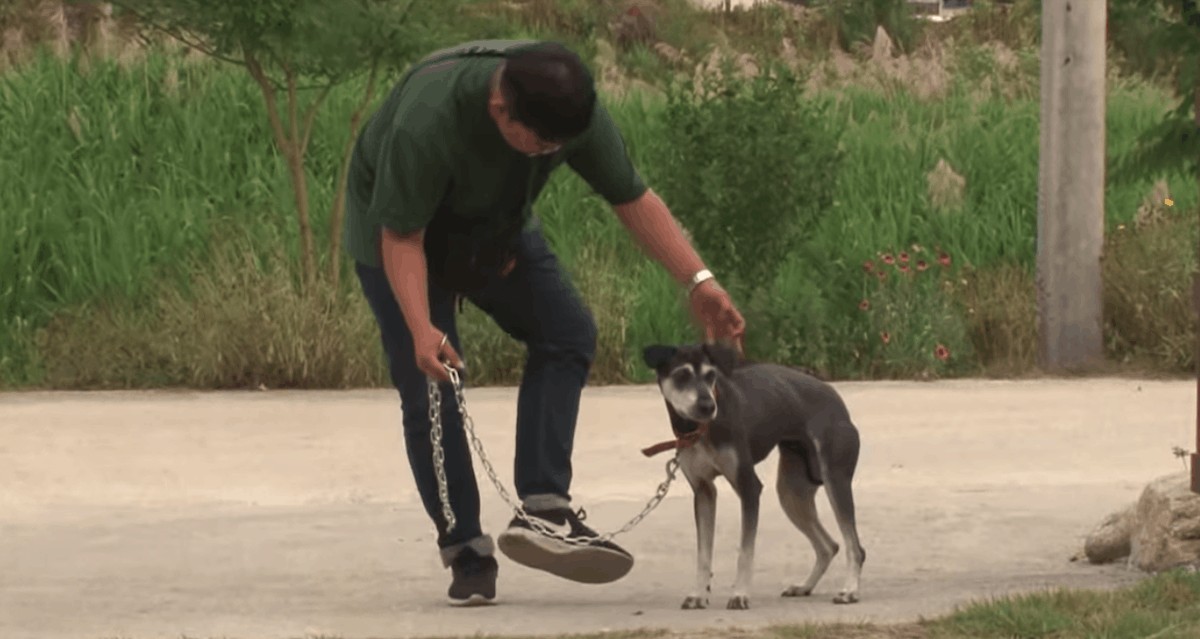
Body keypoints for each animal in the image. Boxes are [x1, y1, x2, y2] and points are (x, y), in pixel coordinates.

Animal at [642, 342, 865, 610]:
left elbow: (745, 552)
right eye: (681, 375)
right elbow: (703, 554)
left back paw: (850, 591)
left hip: (835, 481)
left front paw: (739, 594)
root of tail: (835, 398)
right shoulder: (703, 491)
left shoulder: (748, 487)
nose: (708, 407)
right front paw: (698, 595)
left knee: (854, 547)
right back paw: (804, 587)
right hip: (791, 494)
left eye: (710, 375)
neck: (701, 431)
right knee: (828, 546)